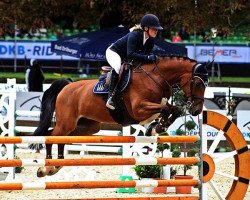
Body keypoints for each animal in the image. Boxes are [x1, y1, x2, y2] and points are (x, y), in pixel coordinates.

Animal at [30, 55, 208, 177]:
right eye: (198, 84)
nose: (197, 111)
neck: (156, 78)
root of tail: (67, 85)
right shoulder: (139, 109)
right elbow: (164, 109)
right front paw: (157, 126)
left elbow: (173, 110)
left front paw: (155, 127)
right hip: (67, 122)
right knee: (51, 135)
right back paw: (46, 167)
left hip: (88, 126)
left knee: (62, 138)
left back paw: (56, 165)